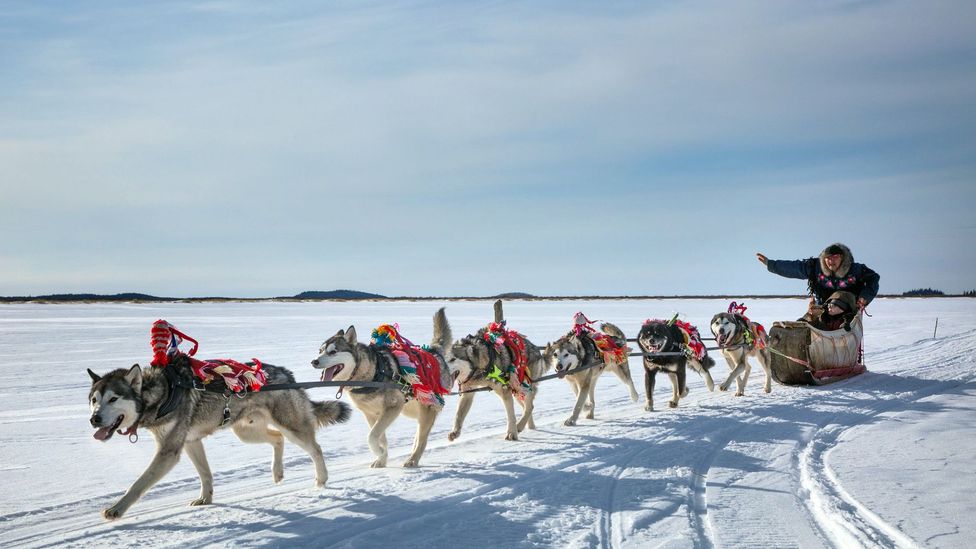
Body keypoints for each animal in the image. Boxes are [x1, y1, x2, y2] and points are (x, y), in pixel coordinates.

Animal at [86, 358, 348, 520]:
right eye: (94, 399)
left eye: (113, 398)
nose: (94, 419)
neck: (161, 393)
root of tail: (287, 373)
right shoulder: (191, 442)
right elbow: (205, 474)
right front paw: (206, 499)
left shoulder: (169, 451)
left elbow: (138, 484)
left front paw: (116, 509)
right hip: (245, 433)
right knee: (277, 439)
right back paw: (277, 472)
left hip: (291, 427)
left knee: (315, 448)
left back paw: (321, 480)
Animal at [312, 308, 454, 466]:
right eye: (320, 351)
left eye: (333, 352)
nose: (314, 361)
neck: (371, 373)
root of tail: (434, 351)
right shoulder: (372, 414)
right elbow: (380, 439)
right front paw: (381, 458)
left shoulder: (392, 407)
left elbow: (371, 437)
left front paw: (379, 452)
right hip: (411, 409)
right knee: (418, 435)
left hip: (425, 408)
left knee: (422, 440)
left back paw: (412, 460)